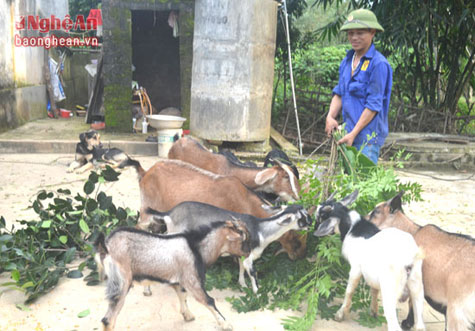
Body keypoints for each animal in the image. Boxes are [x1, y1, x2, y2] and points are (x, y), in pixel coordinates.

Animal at [93, 220, 251, 331]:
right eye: (242, 239)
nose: (248, 252)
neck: (196, 247)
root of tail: (105, 247)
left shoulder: (177, 281)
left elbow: (182, 296)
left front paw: (188, 316)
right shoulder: (192, 279)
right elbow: (208, 300)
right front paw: (226, 324)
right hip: (122, 283)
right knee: (108, 319)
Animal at [147, 201, 314, 294]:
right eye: (302, 217)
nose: (312, 223)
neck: (260, 230)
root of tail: (170, 213)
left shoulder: (242, 253)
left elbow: (241, 268)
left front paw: (242, 285)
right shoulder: (249, 257)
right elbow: (252, 272)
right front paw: (257, 293)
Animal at [314, 192, 426, 331]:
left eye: (320, 217)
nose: (314, 228)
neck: (354, 229)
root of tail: (408, 258)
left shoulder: (356, 268)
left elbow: (349, 291)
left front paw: (340, 314)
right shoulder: (373, 275)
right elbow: (374, 290)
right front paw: (373, 312)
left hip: (390, 289)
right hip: (417, 284)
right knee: (420, 321)